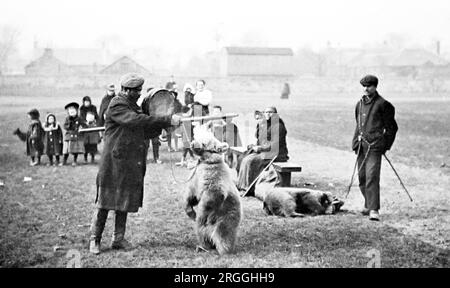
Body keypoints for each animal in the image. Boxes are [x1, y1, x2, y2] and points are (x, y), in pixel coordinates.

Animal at [184, 126, 243, 254]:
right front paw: (191, 212)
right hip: (204, 228)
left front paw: (200, 212)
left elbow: (213, 196)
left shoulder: (214, 178)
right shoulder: (197, 178)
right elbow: (191, 195)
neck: (206, 161)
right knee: (202, 233)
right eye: (197, 136)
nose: (192, 143)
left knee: (223, 233)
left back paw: (223, 249)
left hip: (226, 216)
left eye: (204, 143)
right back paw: (203, 246)